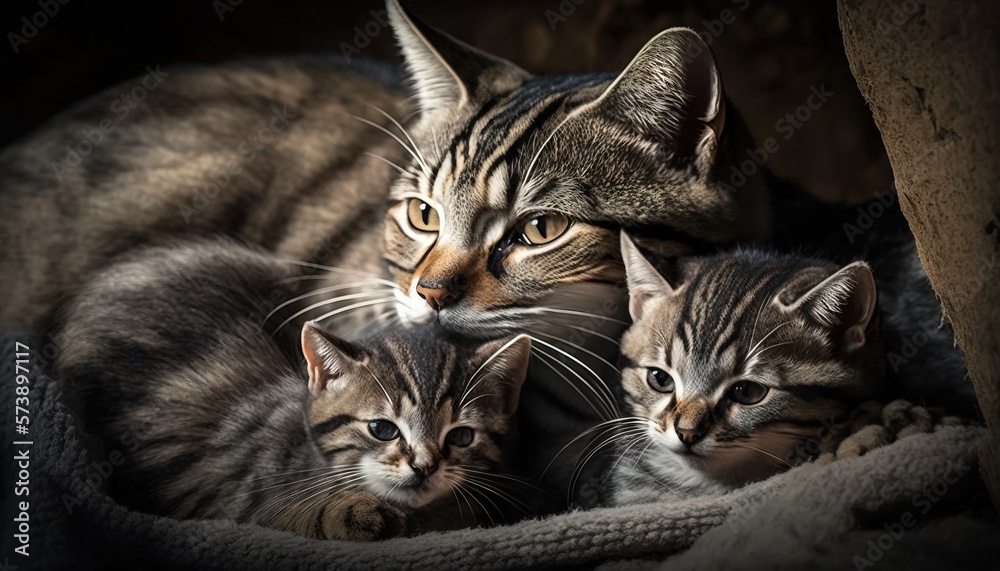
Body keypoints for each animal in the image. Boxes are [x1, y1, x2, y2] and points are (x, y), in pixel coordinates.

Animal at [55, 241, 536, 540]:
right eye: (382, 429)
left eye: (461, 436)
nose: (424, 467)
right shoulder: (221, 494)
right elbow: (278, 518)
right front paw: (353, 515)